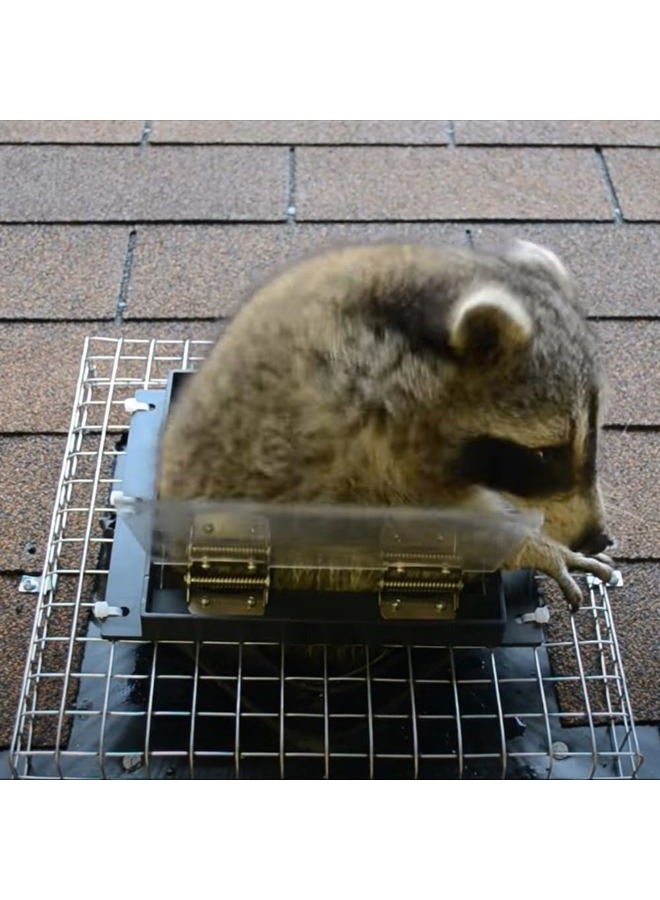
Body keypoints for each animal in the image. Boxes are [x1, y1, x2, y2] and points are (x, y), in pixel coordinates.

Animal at [158, 240, 615, 609]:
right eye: (542, 453)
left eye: (593, 435)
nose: (595, 537)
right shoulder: (357, 442)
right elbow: (425, 529)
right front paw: (532, 547)